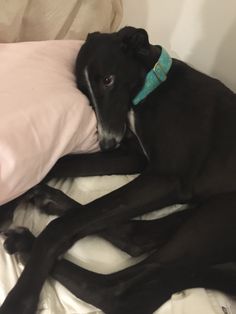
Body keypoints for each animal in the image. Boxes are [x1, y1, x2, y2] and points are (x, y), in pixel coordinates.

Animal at [0, 27, 236, 314]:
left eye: (108, 80)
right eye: (84, 92)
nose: (106, 143)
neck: (154, 83)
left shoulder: (166, 178)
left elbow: (61, 227)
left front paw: (22, 295)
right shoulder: (136, 159)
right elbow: (59, 163)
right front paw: (9, 202)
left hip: (219, 216)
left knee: (119, 290)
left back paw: (26, 257)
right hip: (206, 213)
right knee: (137, 237)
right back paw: (49, 203)